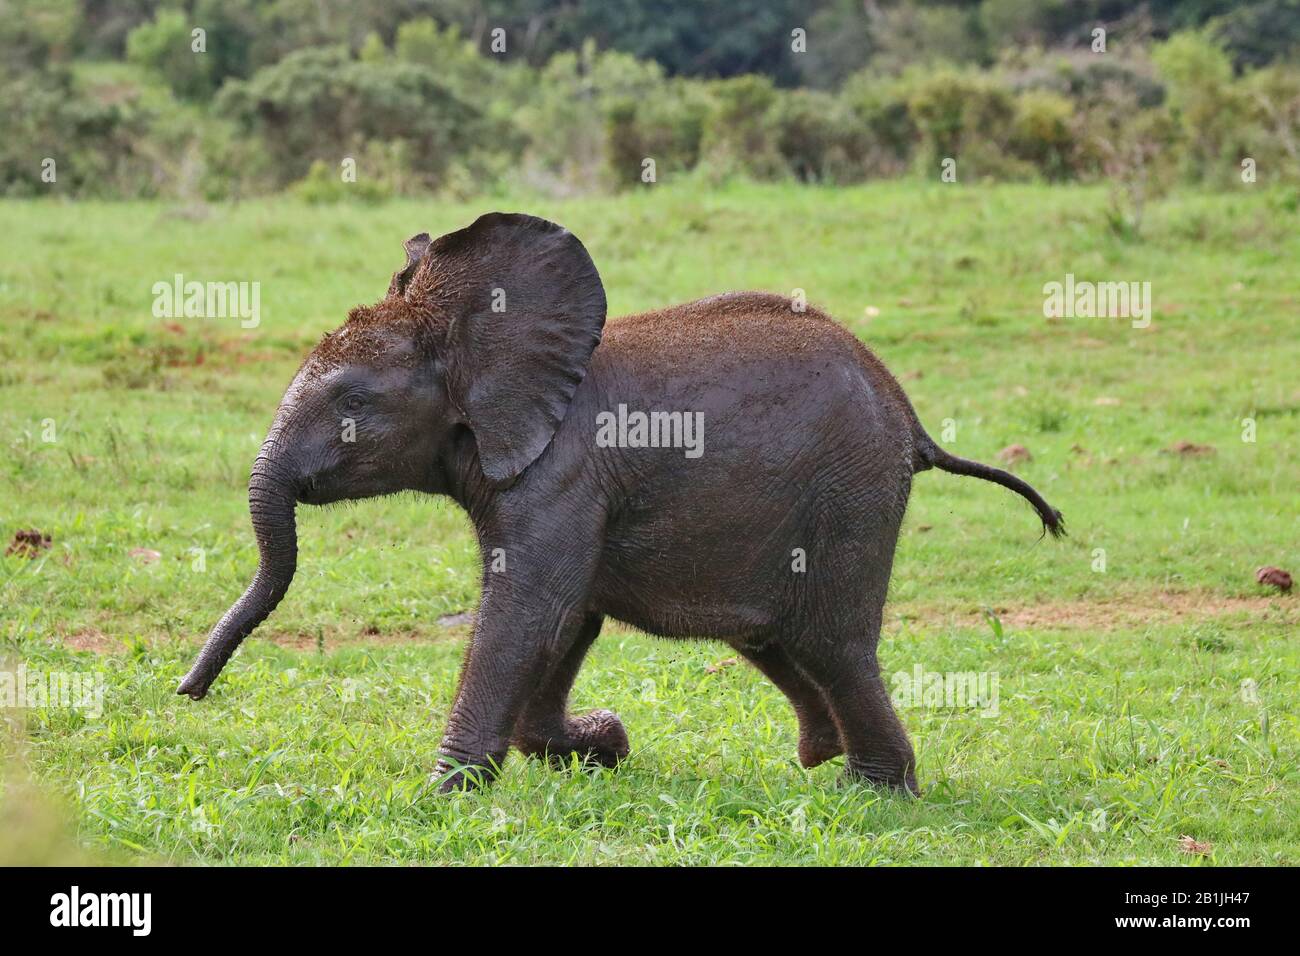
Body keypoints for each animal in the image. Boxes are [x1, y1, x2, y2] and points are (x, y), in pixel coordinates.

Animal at [178, 213, 1060, 796]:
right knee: (776, 636)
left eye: (353, 402)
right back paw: (820, 757)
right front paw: (602, 744)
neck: (474, 334)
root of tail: (909, 413)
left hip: (850, 494)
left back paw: (870, 789)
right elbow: (568, 620)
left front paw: (441, 795)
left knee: (834, 641)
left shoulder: (562, 475)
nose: (187, 694)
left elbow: (532, 612)